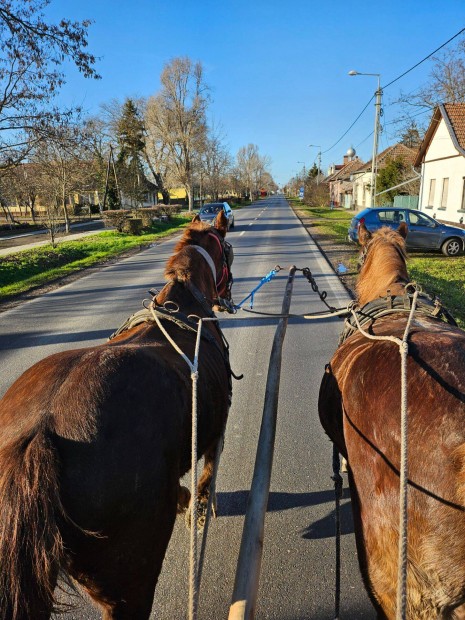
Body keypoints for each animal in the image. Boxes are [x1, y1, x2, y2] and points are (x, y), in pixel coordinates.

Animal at [0, 211, 234, 616]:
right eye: (228, 251)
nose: (229, 297)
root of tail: (40, 435)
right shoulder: (214, 430)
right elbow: (209, 472)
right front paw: (201, 504)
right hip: (130, 576)